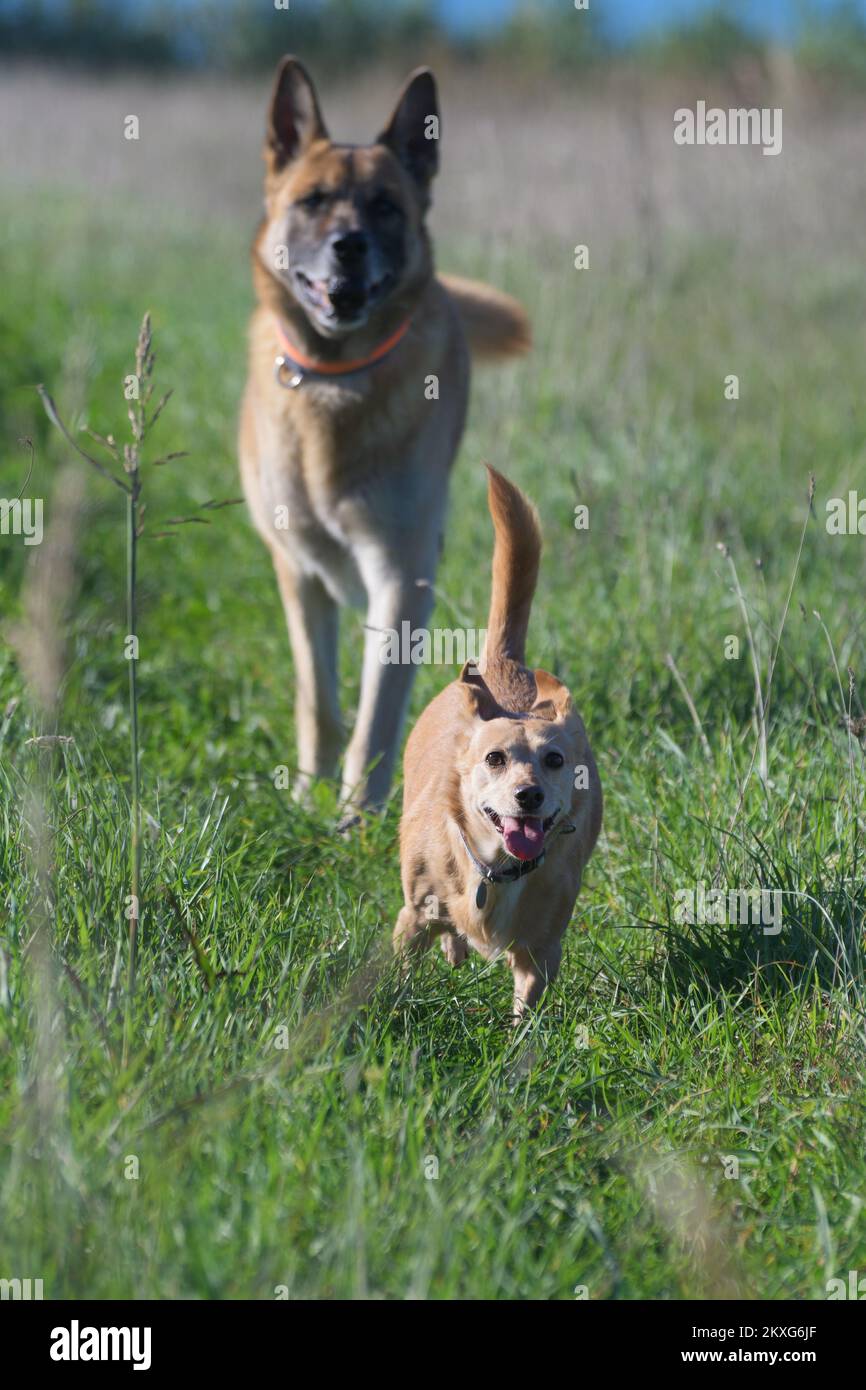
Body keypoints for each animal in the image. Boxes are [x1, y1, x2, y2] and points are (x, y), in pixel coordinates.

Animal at [240, 56, 530, 811]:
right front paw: (306, 795)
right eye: (313, 201)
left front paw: (357, 816)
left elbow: (375, 714)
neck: (338, 384)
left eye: (386, 207)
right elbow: (319, 700)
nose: (349, 247)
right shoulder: (299, 574)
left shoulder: (399, 575)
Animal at [394, 467, 603, 1023]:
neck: (497, 869)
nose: (528, 795)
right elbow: (401, 974)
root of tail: (503, 664)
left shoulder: (541, 950)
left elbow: (525, 1010)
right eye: (495, 758)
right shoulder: (411, 918)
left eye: (555, 761)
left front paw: (520, 1044)